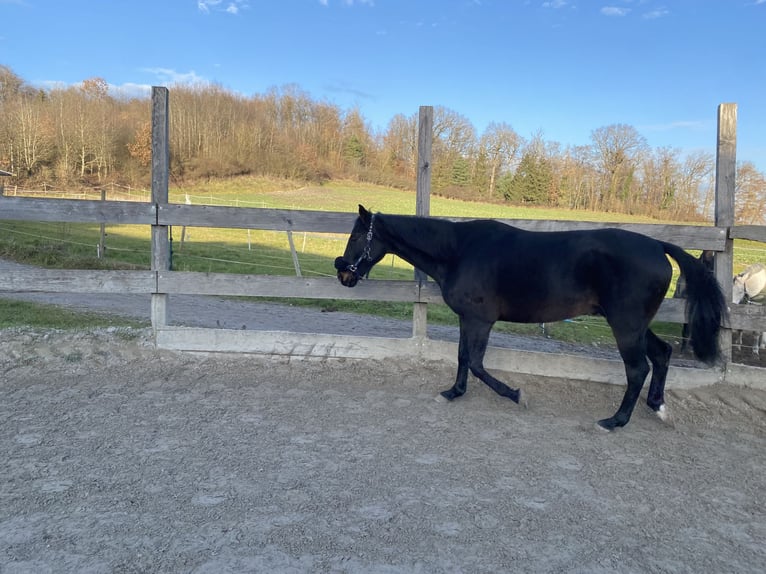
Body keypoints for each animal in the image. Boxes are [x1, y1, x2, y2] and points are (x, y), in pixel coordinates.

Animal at [336, 207, 728, 432]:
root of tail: (659, 246)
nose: (343, 273)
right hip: (634, 325)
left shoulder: (481, 320)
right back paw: (658, 408)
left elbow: (476, 363)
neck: (460, 251)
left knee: (637, 369)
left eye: (356, 235)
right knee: (661, 354)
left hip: (625, 326)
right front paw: (453, 392)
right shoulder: (468, 318)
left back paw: (614, 421)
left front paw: (516, 395)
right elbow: (462, 358)